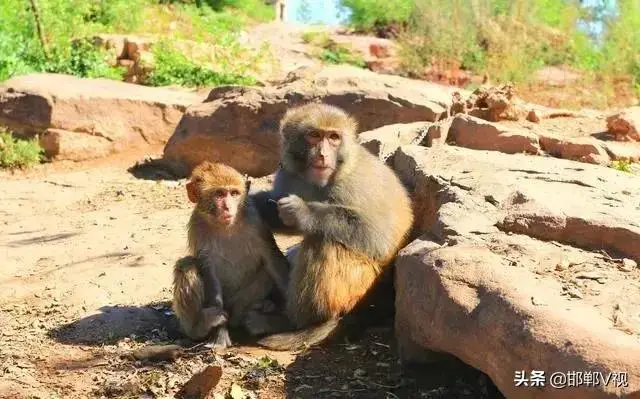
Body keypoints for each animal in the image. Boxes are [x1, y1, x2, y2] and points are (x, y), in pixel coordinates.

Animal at [170, 162, 290, 346]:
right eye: (219, 194)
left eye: (234, 193)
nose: (227, 207)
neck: (226, 227)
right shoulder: (197, 227)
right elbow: (209, 272)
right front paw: (219, 335)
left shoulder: (254, 220)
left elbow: (271, 259)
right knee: (187, 265)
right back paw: (198, 327)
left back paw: (261, 310)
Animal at [252, 103, 412, 350]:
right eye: (315, 135)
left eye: (333, 137)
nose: (322, 155)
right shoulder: (288, 174)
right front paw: (251, 202)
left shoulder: (354, 185)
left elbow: (378, 239)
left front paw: (303, 212)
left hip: (360, 287)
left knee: (323, 241)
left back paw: (304, 322)